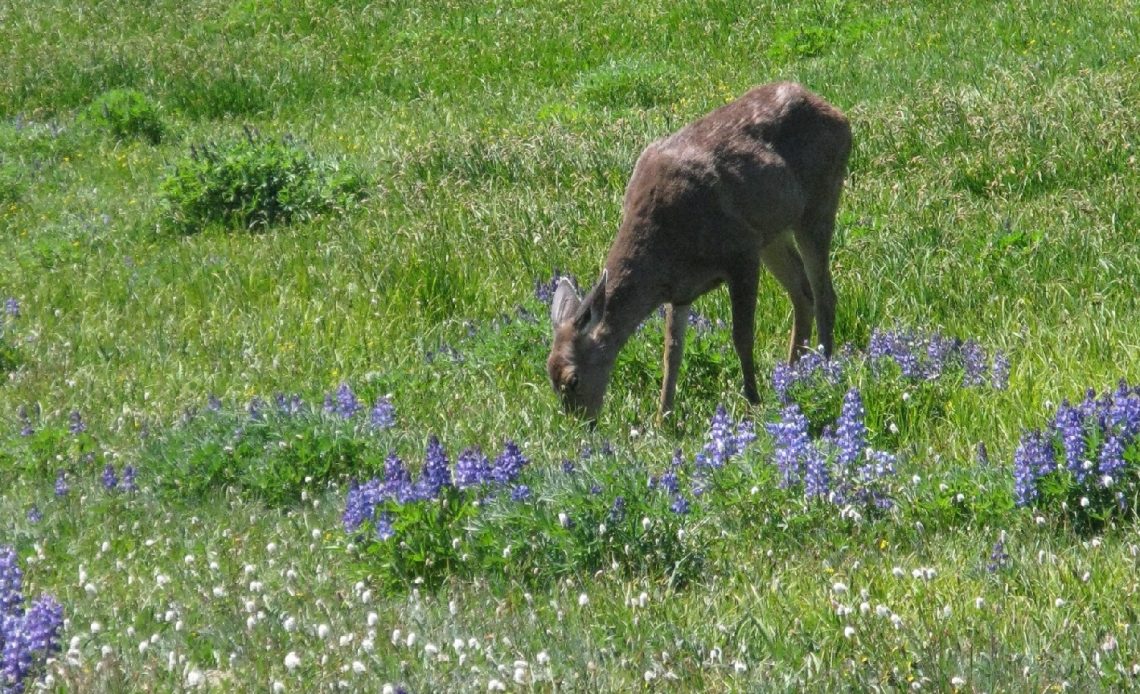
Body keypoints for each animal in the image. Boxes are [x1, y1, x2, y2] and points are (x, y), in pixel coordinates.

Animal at [547, 78, 852, 419]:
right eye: (550, 377)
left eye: (572, 379)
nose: (583, 424)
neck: (666, 244)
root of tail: (838, 114)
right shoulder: (680, 290)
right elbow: (672, 352)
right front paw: (663, 418)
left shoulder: (741, 251)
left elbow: (741, 336)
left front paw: (752, 402)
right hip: (773, 234)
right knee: (802, 293)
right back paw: (793, 372)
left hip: (819, 201)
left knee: (824, 293)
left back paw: (824, 368)